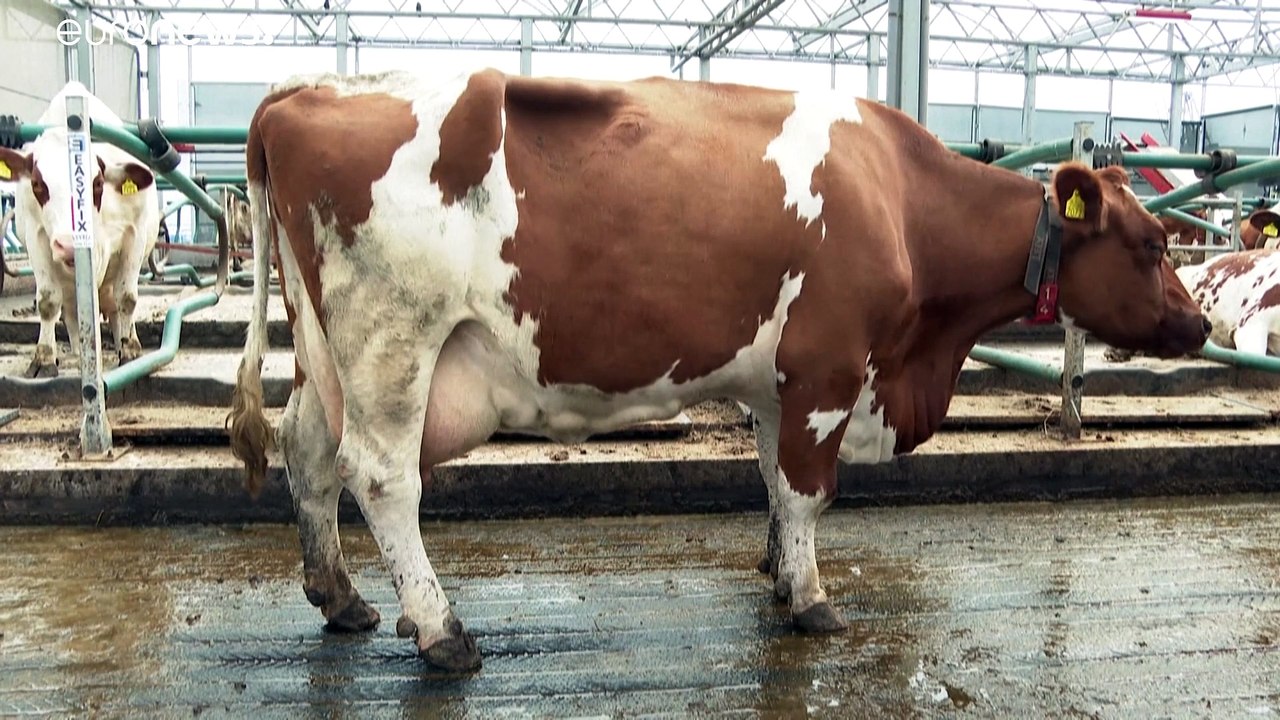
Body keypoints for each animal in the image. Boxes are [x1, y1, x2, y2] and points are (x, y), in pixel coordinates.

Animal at [0, 82, 159, 377]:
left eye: (97, 183)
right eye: (37, 184)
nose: (68, 244)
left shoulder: (136, 232)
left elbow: (127, 297)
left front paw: (130, 351)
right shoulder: (37, 236)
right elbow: (49, 301)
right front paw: (44, 358)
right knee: (73, 309)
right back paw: (77, 351)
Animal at [227, 69, 1211, 673]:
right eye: (1152, 243)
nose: (1200, 323)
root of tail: (302, 92)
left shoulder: (780, 382)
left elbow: (775, 480)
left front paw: (778, 574)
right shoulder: (829, 365)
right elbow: (809, 490)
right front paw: (810, 600)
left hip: (325, 352)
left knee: (307, 451)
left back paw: (340, 596)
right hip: (394, 340)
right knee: (381, 476)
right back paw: (441, 633)